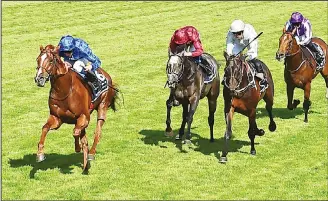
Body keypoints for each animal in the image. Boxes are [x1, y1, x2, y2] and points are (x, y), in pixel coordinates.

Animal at [34, 44, 119, 172]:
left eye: (50, 60)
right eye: (38, 59)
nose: (39, 79)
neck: (64, 90)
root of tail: (105, 74)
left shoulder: (84, 116)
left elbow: (75, 132)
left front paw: (78, 148)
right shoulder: (57, 118)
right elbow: (45, 128)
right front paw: (40, 154)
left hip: (102, 106)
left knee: (98, 131)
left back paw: (91, 153)